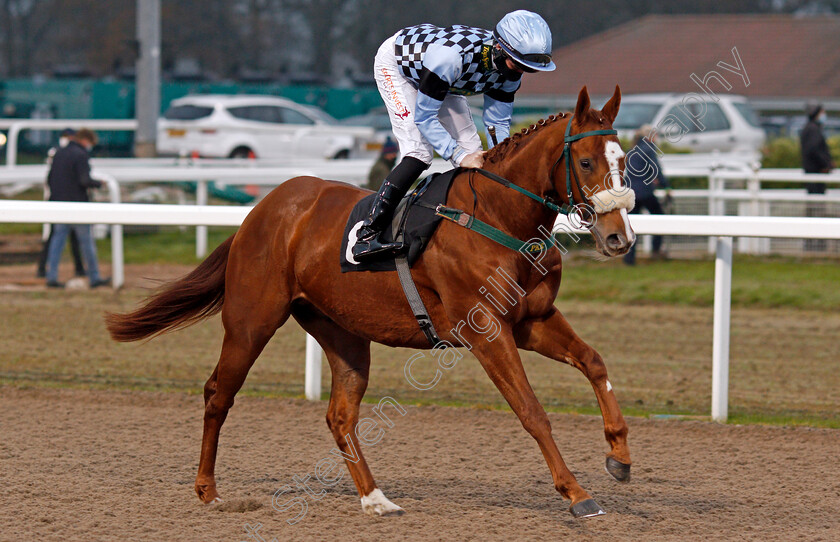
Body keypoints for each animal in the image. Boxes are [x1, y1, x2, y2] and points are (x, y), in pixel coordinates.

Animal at [106, 85, 632, 520]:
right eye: (586, 163)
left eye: (624, 160)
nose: (618, 238)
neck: (498, 217)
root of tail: (261, 210)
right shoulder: (487, 330)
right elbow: (531, 410)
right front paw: (577, 494)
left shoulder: (533, 320)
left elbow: (595, 362)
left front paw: (619, 456)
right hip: (251, 322)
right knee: (218, 393)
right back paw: (209, 490)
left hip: (342, 332)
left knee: (340, 415)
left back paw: (375, 498)